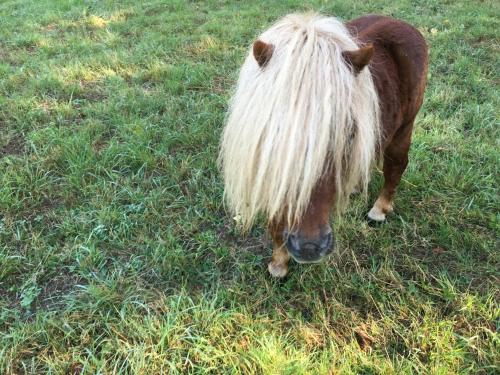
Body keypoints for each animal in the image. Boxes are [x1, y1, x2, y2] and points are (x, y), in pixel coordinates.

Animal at [221, 13, 428, 278]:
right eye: (275, 133)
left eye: (348, 134)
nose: (310, 247)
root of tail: (400, 23)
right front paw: (278, 263)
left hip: (405, 128)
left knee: (396, 166)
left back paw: (379, 210)